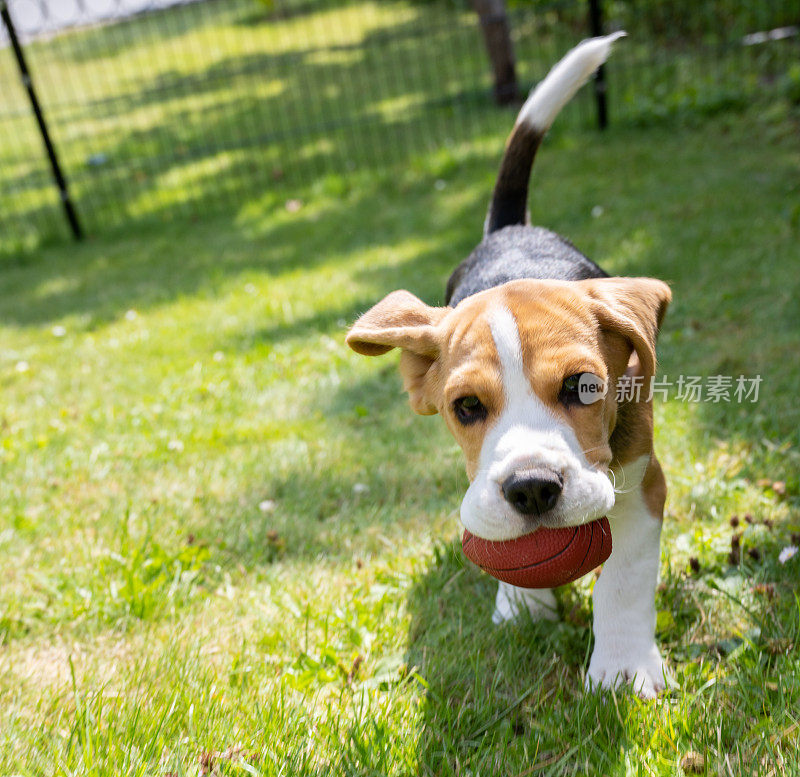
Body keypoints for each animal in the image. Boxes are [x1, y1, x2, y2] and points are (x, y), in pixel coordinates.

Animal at [346, 33, 672, 696]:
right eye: (467, 407)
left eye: (585, 387)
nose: (531, 489)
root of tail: (511, 231)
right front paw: (523, 605)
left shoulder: (643, 481)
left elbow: (624, 576)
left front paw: (622, 668)